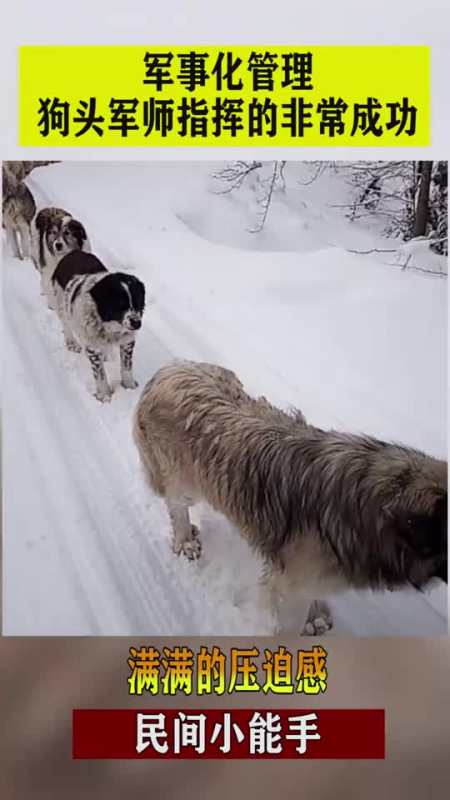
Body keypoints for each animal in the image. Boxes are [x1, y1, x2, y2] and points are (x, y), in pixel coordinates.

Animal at [51, 252, 146, 404]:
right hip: (61, 305)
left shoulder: (127, 341)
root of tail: (72, 252)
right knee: (66, 325)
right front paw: (104, 395)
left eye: (138, 302)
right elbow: (100, 373)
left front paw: (129, 386)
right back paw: (72, 343)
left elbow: (126, 366)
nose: (137, 323)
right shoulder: (92, 346)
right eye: (120, 304)